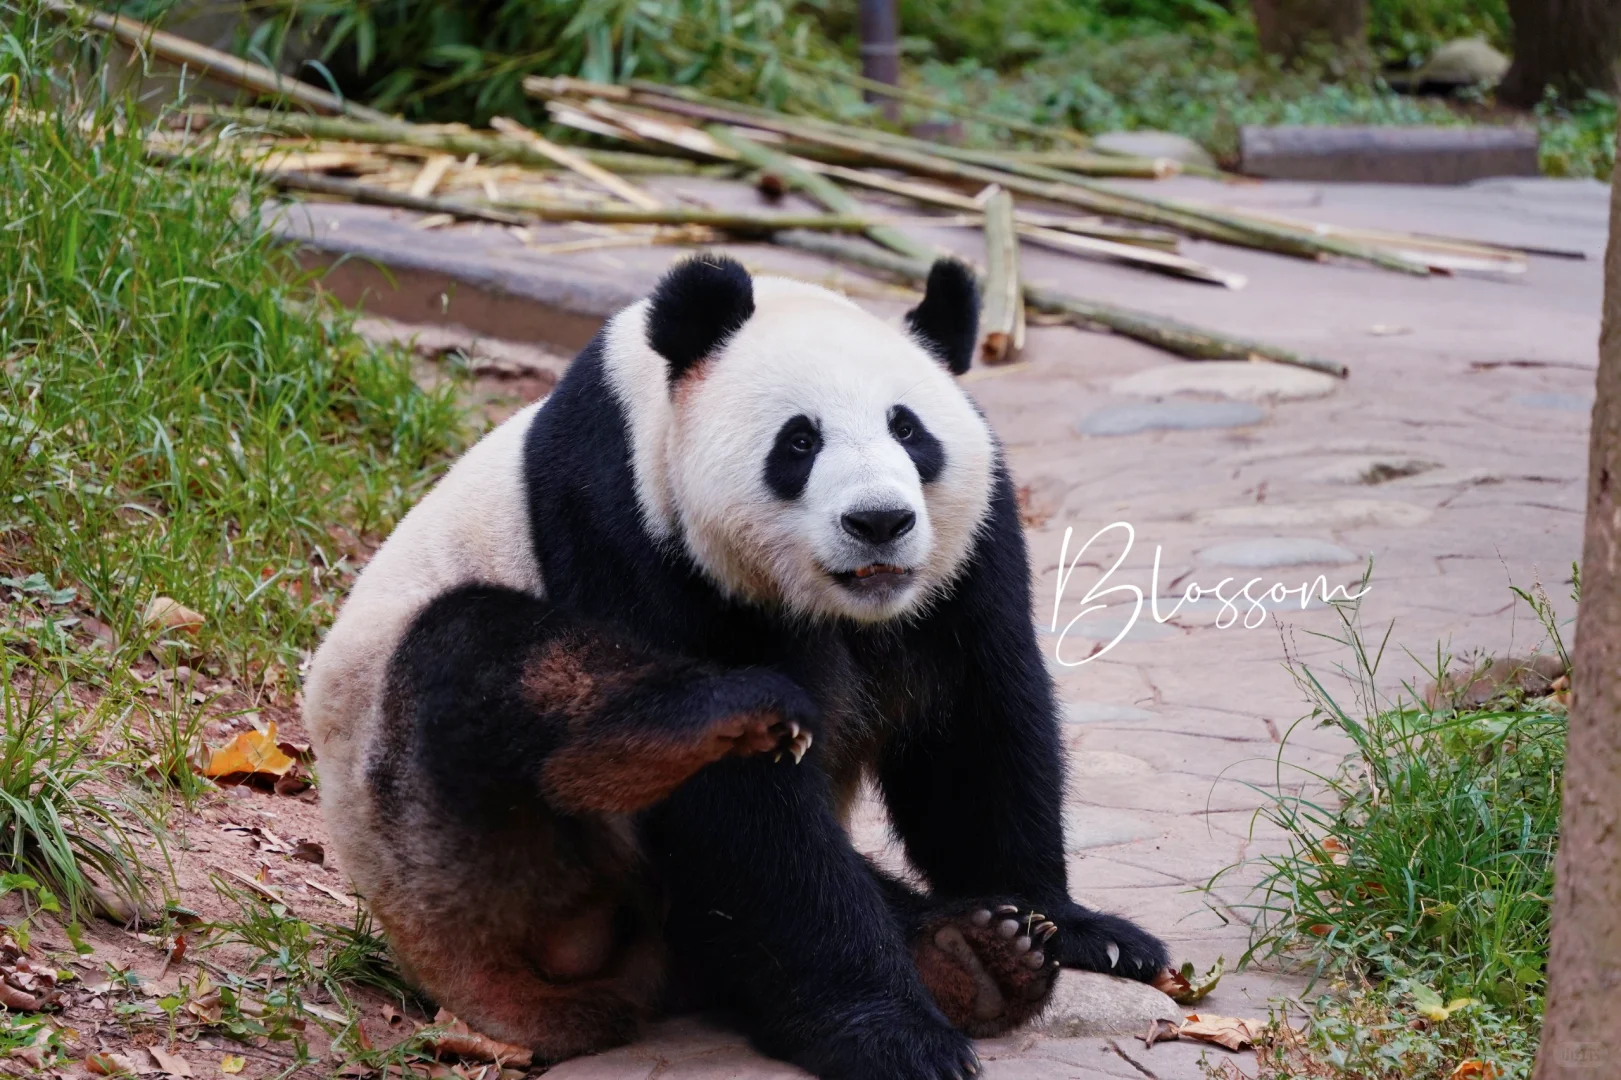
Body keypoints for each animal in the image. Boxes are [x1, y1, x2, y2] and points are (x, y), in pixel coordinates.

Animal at [304, 254, 1168, 1080]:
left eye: (909, 431)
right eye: (799, 442)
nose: (879, 523)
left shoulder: (963, 558)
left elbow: (974, 732)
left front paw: (1076, 928)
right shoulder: (624, 527)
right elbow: (746, 823)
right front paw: (888, 1035)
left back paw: (978, 957)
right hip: (435, 835)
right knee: (483, 652)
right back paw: (705, 725)